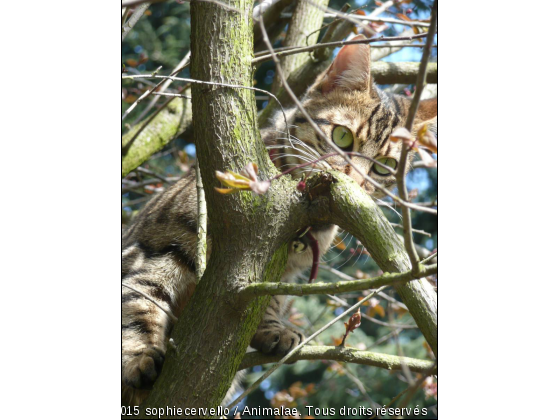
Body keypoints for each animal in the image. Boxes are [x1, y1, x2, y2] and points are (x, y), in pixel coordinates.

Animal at [121, 35, 438, 406]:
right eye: (342, 137)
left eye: (385, 167)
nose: (356, 182)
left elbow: (270, 299)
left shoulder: (285, 275)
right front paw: (138, 356)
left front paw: (272, 328)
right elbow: (141, 299)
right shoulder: (160, 247)